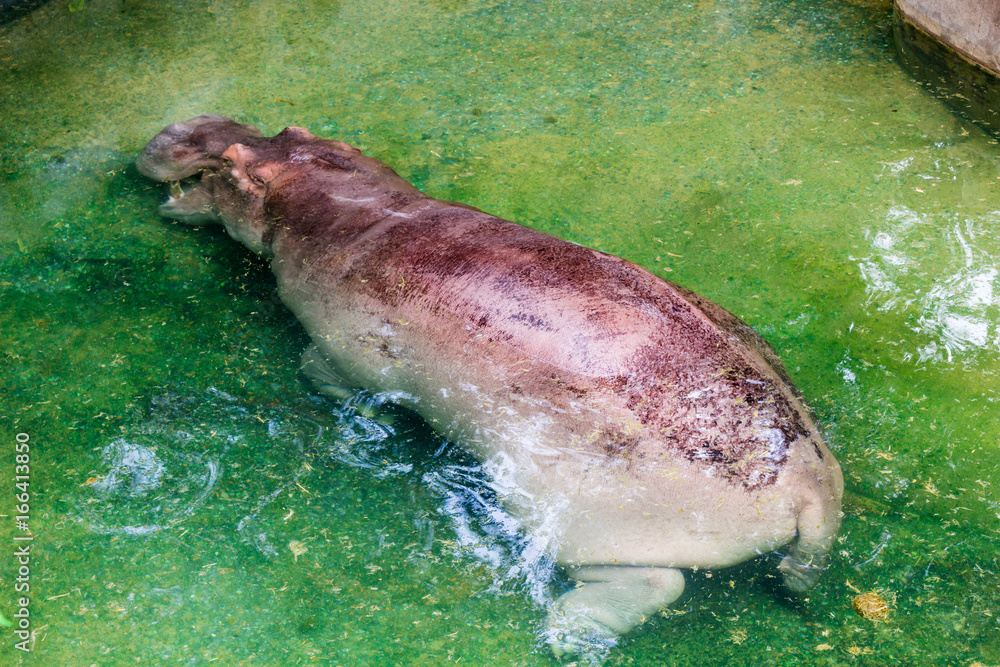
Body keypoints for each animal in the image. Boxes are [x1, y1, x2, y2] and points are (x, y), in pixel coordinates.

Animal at [137, 115, 843, 658]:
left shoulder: (344, 352)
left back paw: (564, 635)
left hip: (580, 520)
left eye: (231, 166)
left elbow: (325, 374)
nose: (185, 125)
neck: (342, 201)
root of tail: (809, 483)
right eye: (292, 130)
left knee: (650, 584)